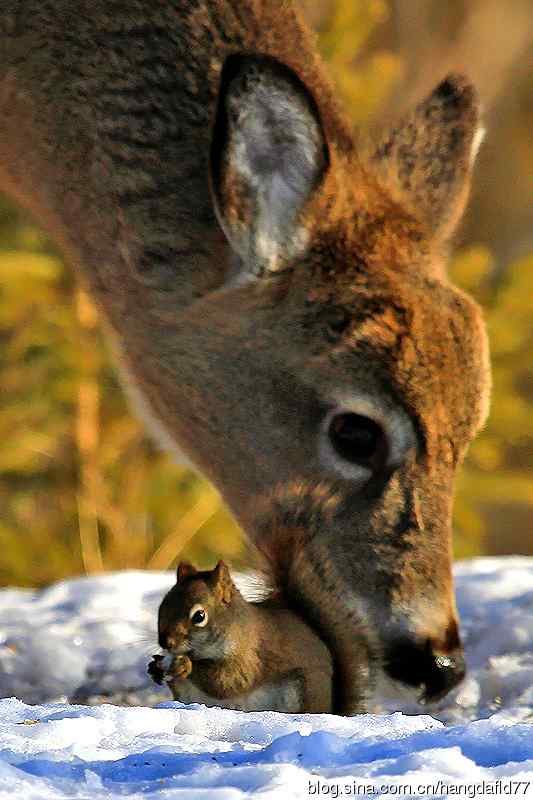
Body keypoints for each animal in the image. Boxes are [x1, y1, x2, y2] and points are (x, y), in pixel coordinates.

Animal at [148, 560, 332, 716]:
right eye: (162, 607)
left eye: (199, 616)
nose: (165, 643)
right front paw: (155, 667)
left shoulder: (250, 656)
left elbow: (229, 681)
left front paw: (185, 665)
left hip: (304, 689)